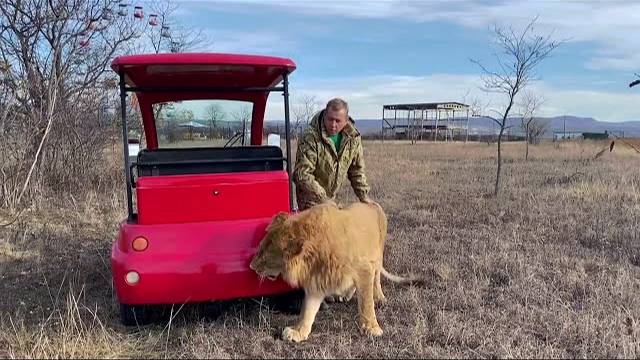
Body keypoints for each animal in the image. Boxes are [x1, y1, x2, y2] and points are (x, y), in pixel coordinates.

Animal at [250, 201, 424, 342]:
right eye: (259, 249)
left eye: (264, 256)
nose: (251, 266)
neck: (315, 255)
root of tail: (372, 203)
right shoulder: (317, 281)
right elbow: (307, 311)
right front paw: (298, 332)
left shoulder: (364, 269)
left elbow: (366, 303)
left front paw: (372, 328)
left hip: (377, 256)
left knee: (376, 278)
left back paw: (379, 297)